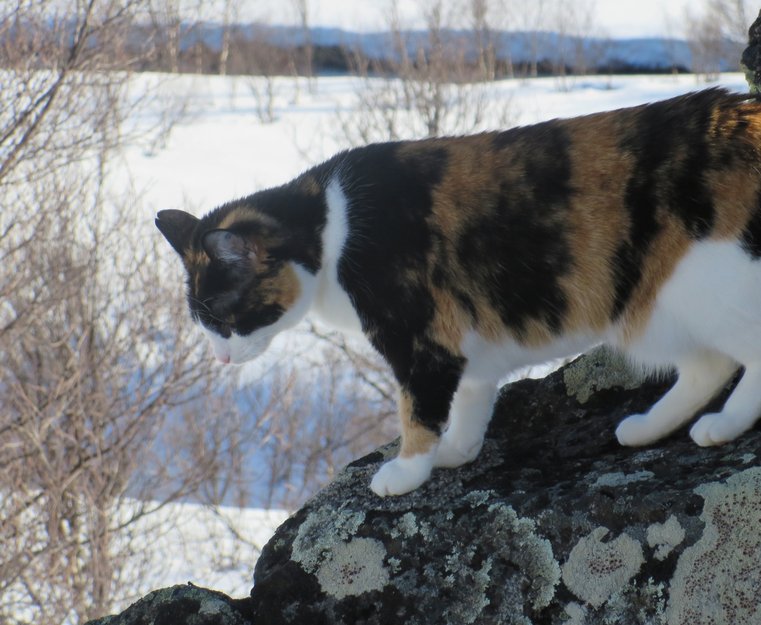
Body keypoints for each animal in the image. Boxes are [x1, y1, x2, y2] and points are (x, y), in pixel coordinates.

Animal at [157, 88, 761, 497]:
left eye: (221, 315)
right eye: (201, 322)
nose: (219, 357)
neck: (332, 227)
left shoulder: (421, 338)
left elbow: (415, 408)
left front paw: (406, 470)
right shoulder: (469, 341)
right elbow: (471, 398)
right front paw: (455, 453)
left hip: (702, 287)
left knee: (746, 357)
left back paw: (724, 425)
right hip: (654, 310)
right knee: (706, 366)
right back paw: (645, 429)